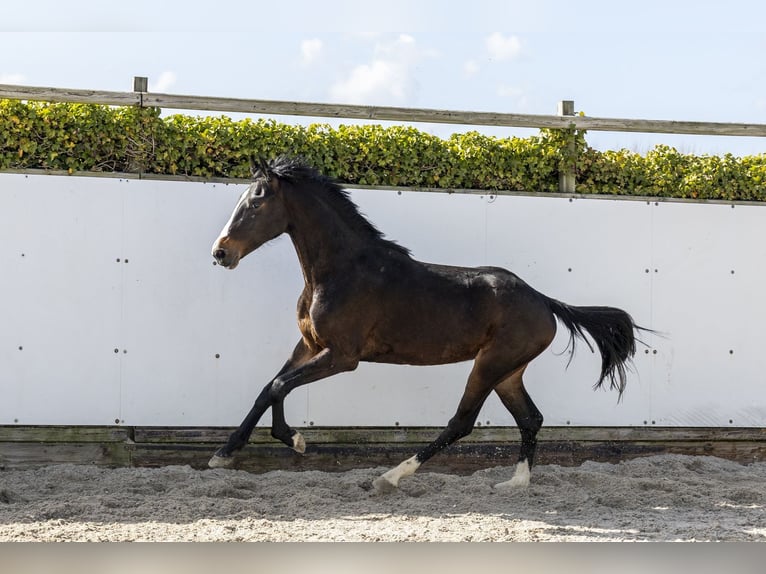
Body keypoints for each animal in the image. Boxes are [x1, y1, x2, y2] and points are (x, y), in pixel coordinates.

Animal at [209, 156, 643, 492]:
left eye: (256, 203)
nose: (220, 253)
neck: (340, 272)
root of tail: (545, 301)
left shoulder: (342, 356)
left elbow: (279, 386)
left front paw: (292, 440)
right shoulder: (310, 345)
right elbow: (269, 388)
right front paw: (228, 452)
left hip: (490, 365)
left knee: (461, 423)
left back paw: (391, 477)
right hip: (508, 372)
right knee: (530, 419)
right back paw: (515, 483)